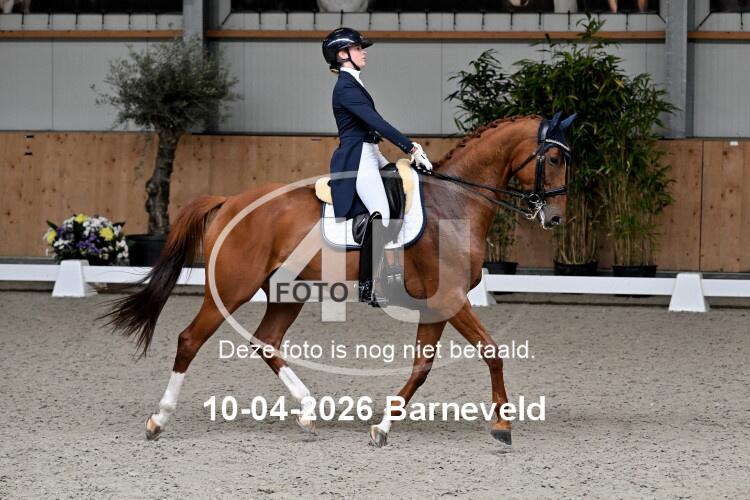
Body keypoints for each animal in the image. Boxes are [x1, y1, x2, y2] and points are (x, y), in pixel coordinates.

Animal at [104, 113, 574, 448]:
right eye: (553, 159)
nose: (554, 218)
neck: (454, 202)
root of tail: (229, 201)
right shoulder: (451, 299)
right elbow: (493, 353)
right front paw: (502, 426)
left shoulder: (438, 304)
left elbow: (422, 368)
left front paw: (383, 428)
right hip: (232, 288)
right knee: (190, 340)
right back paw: (158, 419)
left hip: (286, 292)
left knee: (266, 341)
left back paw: (309, 411)